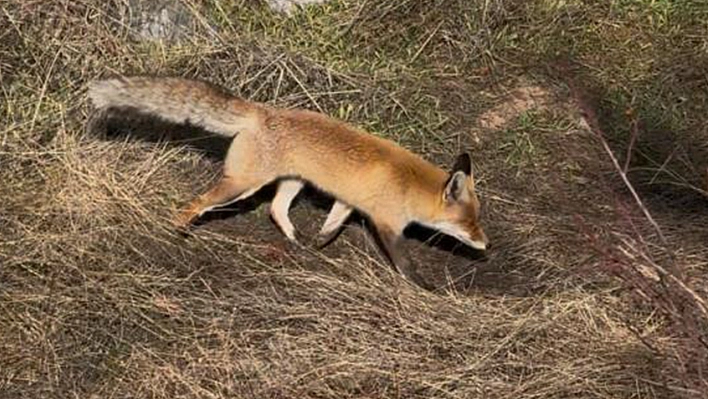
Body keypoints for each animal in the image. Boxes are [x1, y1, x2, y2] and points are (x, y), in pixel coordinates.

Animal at [87, 76, 486, 288]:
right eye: (468, 222)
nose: (486, 244)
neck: (408, 182)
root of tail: (264, 111)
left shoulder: (349, 201)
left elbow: (333, 224)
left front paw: (322, 241)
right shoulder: (386, 223)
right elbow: (404, 261)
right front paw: (421, 286)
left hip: (292, 184)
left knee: (275, 211)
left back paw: (296, 241)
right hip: (242, 185)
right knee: (199, 203)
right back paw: (181, 227)